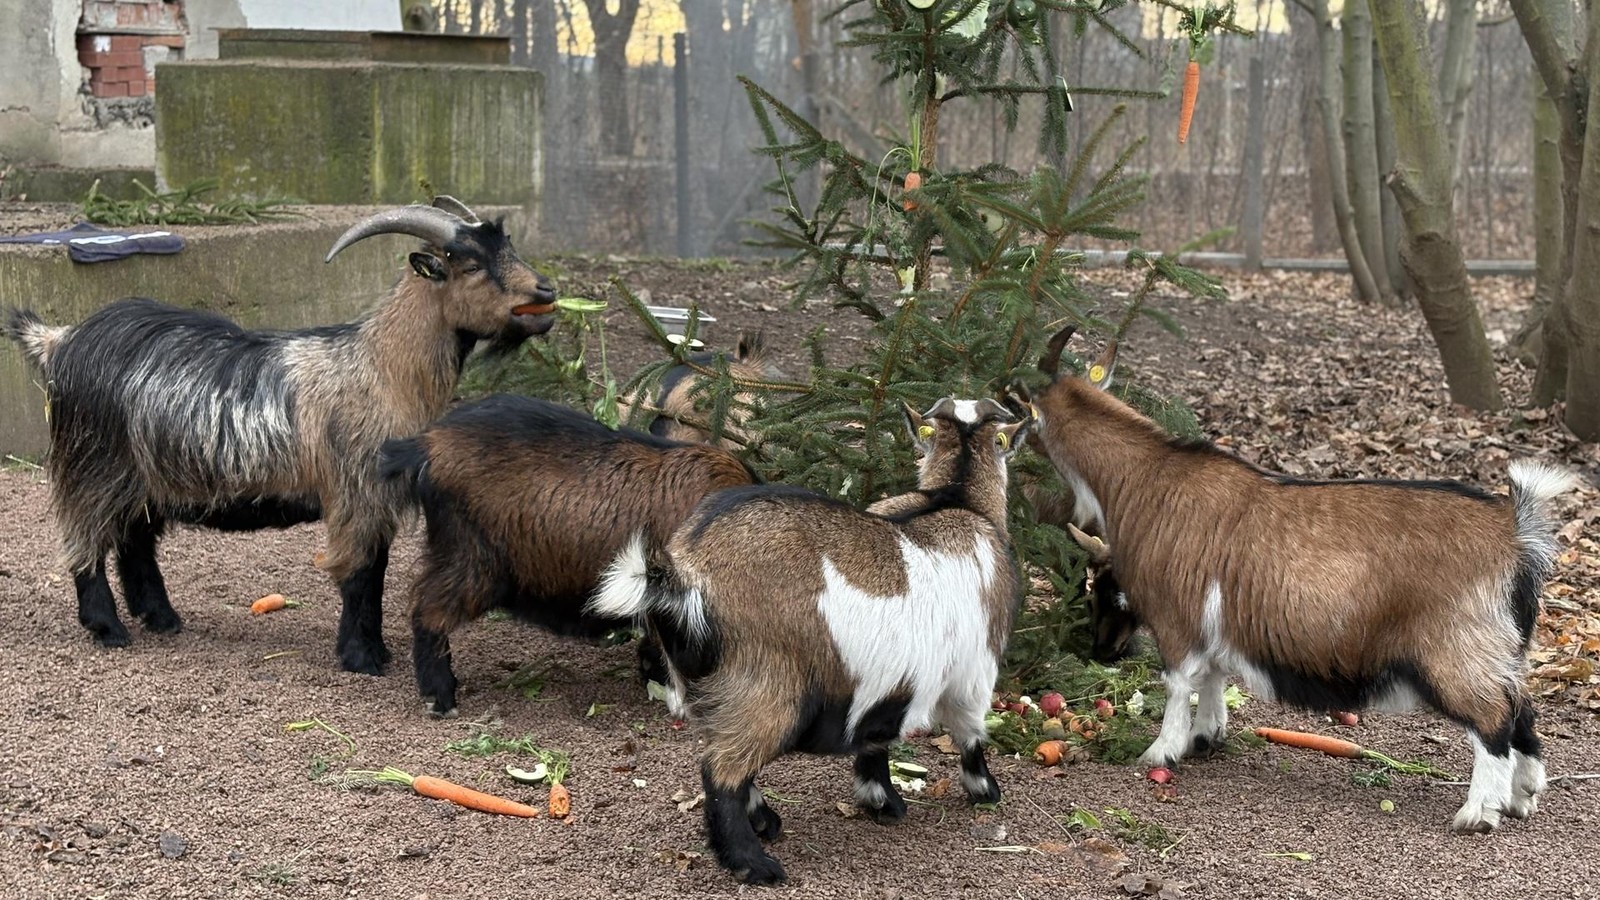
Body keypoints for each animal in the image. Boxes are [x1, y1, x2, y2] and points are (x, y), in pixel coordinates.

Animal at [2, 197, 556, 674]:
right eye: (470, 264)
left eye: (508, 247)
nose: (546, 291)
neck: (380, 366)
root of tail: (60, 340)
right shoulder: (356, 491)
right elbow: (359, 574)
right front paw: (362, 657)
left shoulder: (377, 497)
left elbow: (375, 570)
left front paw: (374, 650)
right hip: (94, 463)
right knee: (86, 539)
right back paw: (108, 628)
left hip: (145, 477)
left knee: (134, 542)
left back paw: (162, 619)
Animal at [591, 398, 1030, 885]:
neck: (957, 499)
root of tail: (686, 576)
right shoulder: (976, 669)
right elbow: (971, 734)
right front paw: (985, 790)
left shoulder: (887, 683)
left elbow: (875, 738)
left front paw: (882, 800)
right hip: (768, 684)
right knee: (721, 770)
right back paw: (753, 862)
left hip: (706, 689)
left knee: (723, 752)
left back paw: (765, 821)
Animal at [1020, 326, 1579, 833]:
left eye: (1106, 590)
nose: (1101, 651)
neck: (1144, 479)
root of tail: (1515, 531)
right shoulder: (1216, 622)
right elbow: (1214, 675)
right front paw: (1206, 737)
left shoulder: (1177, 618)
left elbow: (1179, 683)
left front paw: (1161, 752)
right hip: (1500, 651)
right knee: (1522, 710)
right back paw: (1522, 797)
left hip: (1457, 652)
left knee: (1492, 720)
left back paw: (1478, 814)